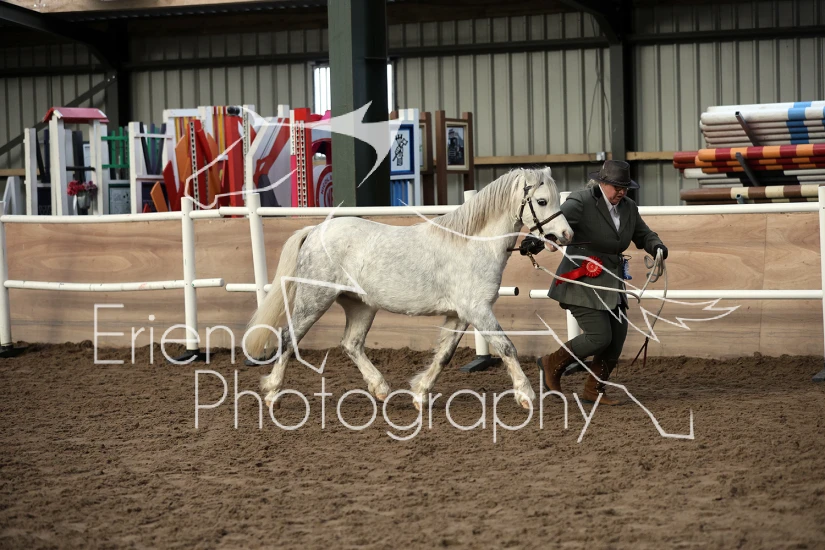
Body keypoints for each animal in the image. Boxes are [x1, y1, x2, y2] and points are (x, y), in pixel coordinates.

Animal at [245, 167, 573, 410]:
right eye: (542, 201)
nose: (565, 234)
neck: (472, 243)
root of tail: (314, 231)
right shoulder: (477, 311)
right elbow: (506, 347)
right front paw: (526, 395)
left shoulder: (460, 315)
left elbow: (444, 355)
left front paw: (420, 394)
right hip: (314, 300)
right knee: (288, 339)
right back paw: (272, 393)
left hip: (360, 305)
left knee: (351, 344)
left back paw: (380, 389)